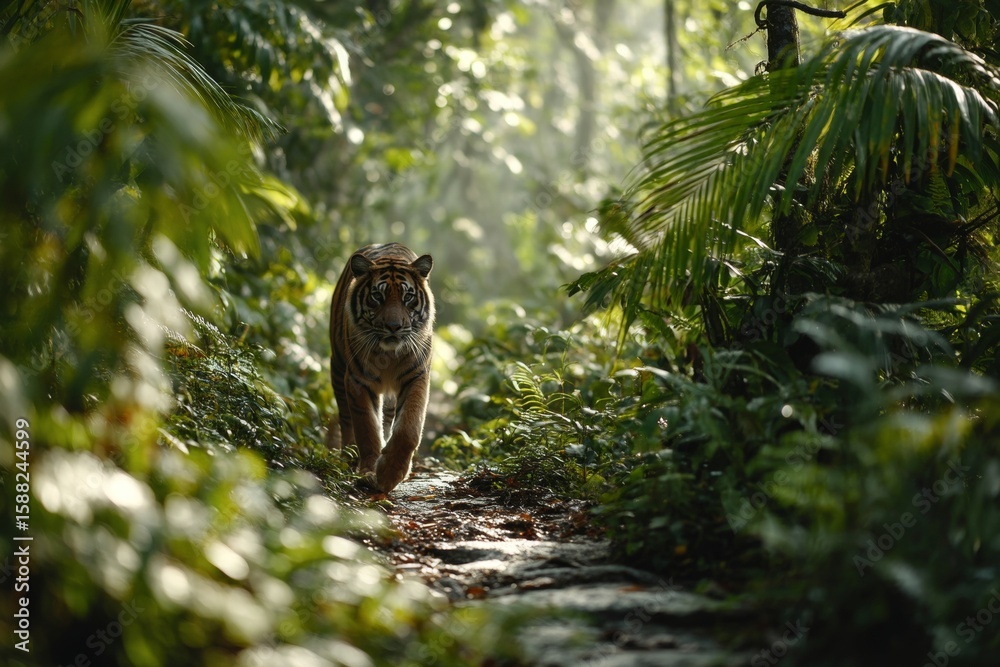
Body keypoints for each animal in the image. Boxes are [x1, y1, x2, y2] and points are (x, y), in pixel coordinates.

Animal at [328, 243, 435, 493]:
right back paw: (348, 456)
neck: (389, 354)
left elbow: (408, 429)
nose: (393, 326)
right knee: (346, 419)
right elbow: (366, 427)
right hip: (337, 368)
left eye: (408, 297)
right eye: (377, 296)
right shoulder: (357, 381)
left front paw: (389, 473)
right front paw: (369, 471)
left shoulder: (416, 376)